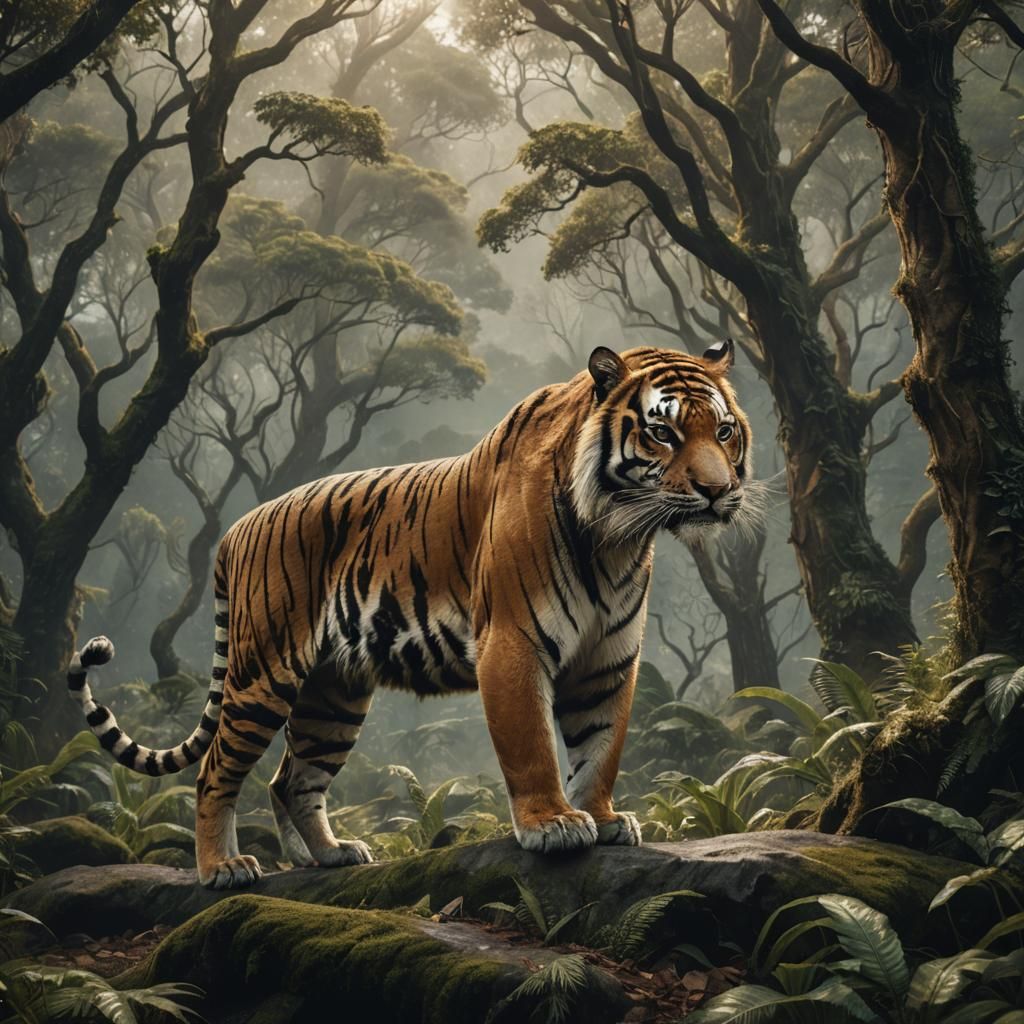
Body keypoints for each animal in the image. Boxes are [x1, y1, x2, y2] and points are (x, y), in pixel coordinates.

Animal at [68, 341, 753, 889]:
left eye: (723, 432)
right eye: (662, 433)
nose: (718, 491)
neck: (616, 537)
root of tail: (236, 529)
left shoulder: (608, 659)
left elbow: (602, 745)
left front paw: (606, 819)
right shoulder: (513, 642)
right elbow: (531, 744)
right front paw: (554, 824)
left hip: (333, 695)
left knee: (291, 779)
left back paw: (333, 855)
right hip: (262, 674)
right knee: (215, 771)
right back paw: (222, 869)